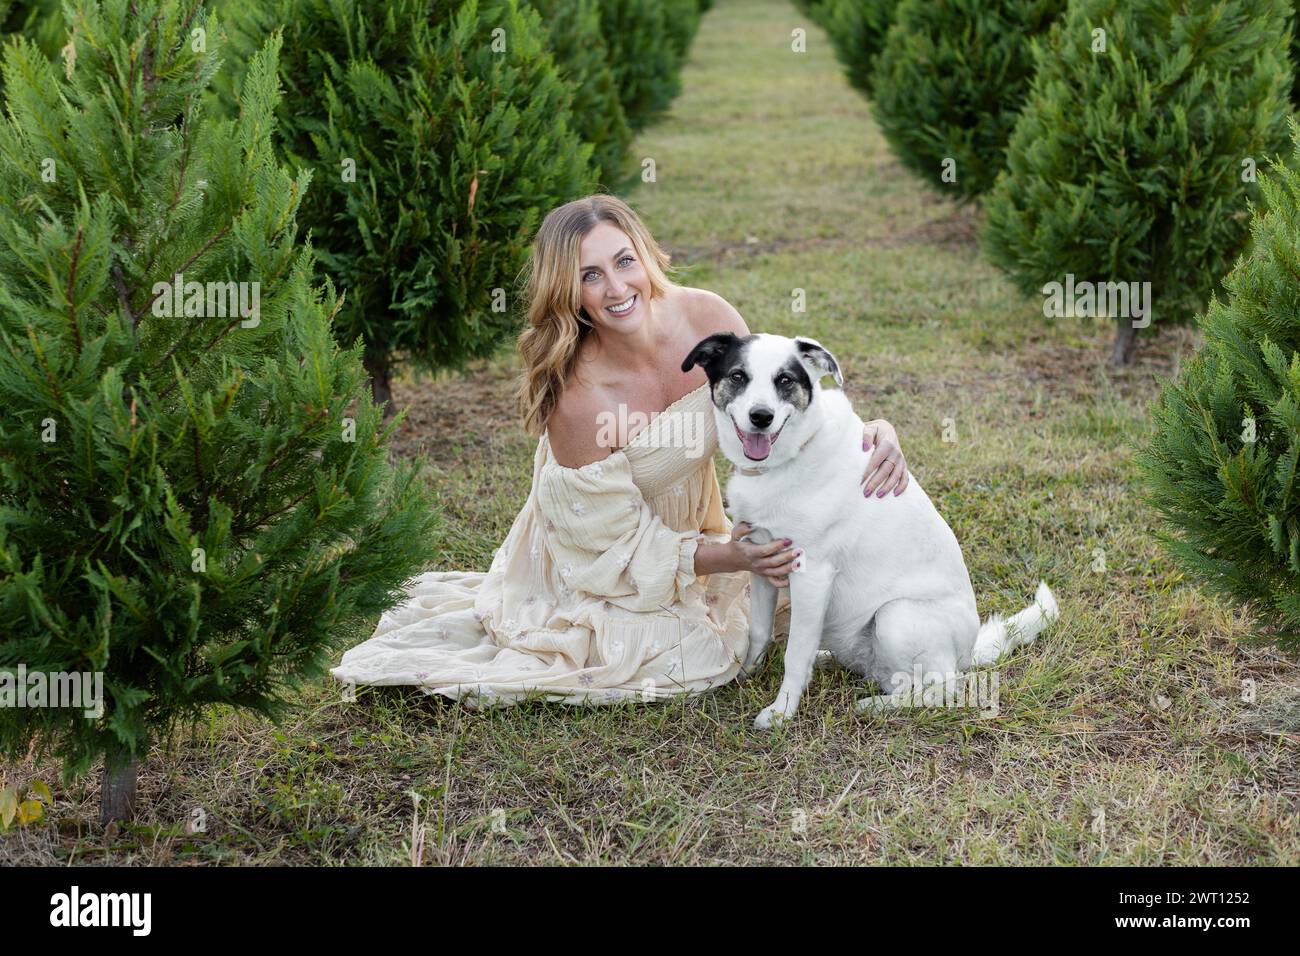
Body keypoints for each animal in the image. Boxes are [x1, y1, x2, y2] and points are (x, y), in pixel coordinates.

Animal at [681, 332, 1055, 728]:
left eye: (785, 380)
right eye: (738, 376)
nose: (761, 417)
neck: (787, 459)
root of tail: (968, 652)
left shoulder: (812, 574)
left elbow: (795, 654)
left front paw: (781, 712)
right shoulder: (763, 561)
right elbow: (759, 631)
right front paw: (745, 675)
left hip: (896, 616)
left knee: (941, 688)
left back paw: (875, 705)